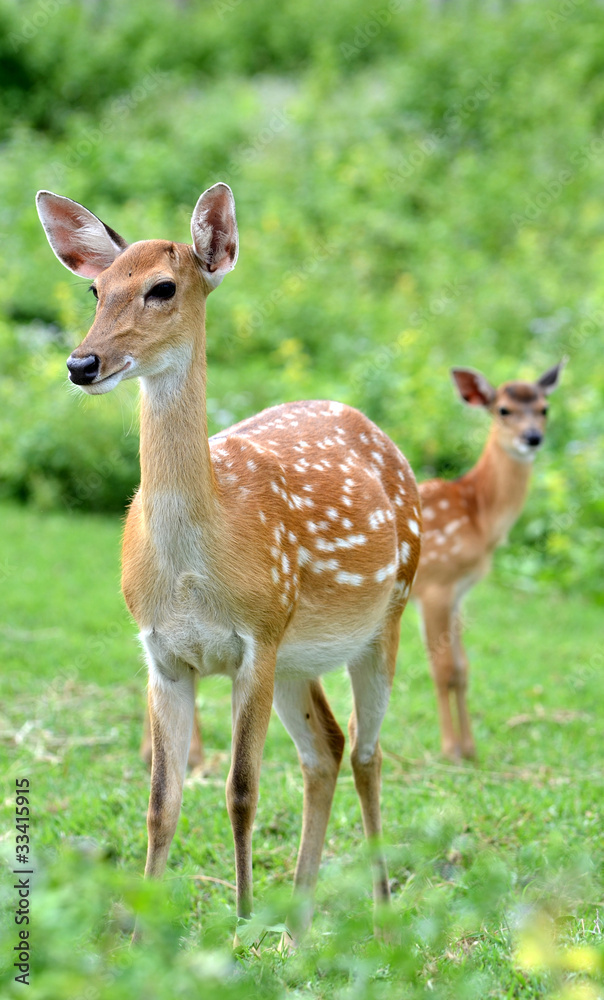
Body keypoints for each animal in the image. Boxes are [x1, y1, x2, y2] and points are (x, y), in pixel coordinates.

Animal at [37, 184, 422, 940]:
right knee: (326, 748)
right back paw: (299, 918)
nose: (81, 364)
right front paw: (142, 931)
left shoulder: (256, 639)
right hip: (300, 656)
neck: (197, 568)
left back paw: (382, 909)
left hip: (385, 613)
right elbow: (161, 800)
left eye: (162, 287)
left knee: (367, 751)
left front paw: (241, 924)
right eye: (96, 288)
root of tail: (374, 428)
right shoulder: (161, 653)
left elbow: (241, 791)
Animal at [412, 364, 564, 760]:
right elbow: (442, 669)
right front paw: (450, 750)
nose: (532, 438)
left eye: (544, 408)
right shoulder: (435, 585)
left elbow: (462, 668)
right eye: (503, 410)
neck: (478, 516)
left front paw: (470, 749)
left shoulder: (459, 592)